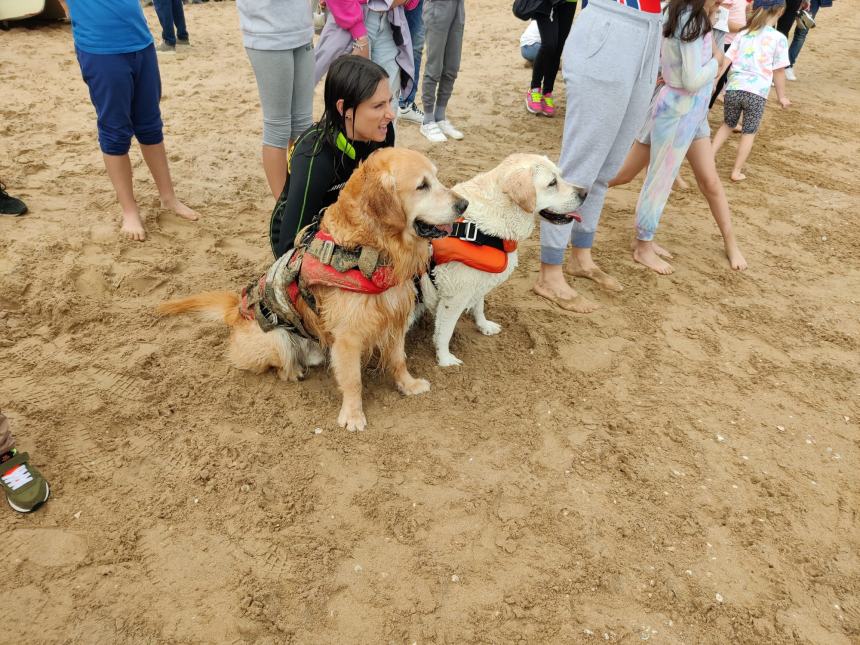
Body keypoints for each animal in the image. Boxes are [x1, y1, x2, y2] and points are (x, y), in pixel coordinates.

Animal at [155, 148, 464, 430]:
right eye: (422, 185)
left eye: (437, 177)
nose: (463, 204)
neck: (372, 249)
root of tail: (235, 310)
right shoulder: (348, 336)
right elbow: (353, 380)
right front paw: (353, 415)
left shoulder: (395, 316)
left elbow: (399, 359)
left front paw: (408, 385)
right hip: (276, 337)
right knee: (280, 365)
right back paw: (294, 371)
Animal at [414, 154, 588, 368]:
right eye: (552, 183)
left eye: (561, 176)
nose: (585, 192)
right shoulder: (454, 296)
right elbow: (444, 331)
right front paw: (445, 359)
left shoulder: (479, 280)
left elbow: (479, 305)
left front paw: (484, 325)